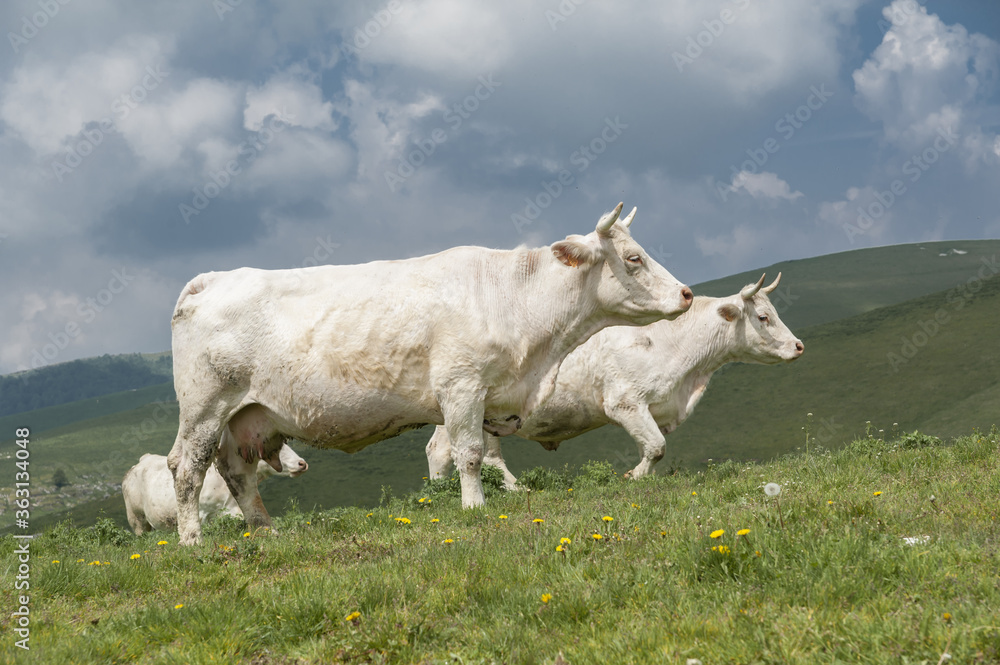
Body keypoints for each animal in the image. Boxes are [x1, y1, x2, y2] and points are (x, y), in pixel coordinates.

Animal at [168, 204, 692, 544]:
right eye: (633, 258)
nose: (687, 293)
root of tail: (211, 279)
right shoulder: (462, 387)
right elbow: (470, 454)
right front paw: (475, 507)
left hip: (244, 415)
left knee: (237, 472)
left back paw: (266, 531)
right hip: (204, 408)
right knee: (187, 469)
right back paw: (193, 541)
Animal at [426, 272, 800, 486]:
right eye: (763, 317)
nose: (799, 346)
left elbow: (652, 445)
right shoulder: (625, 402)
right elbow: (657, 447)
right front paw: (633, 476)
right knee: (456, 452)